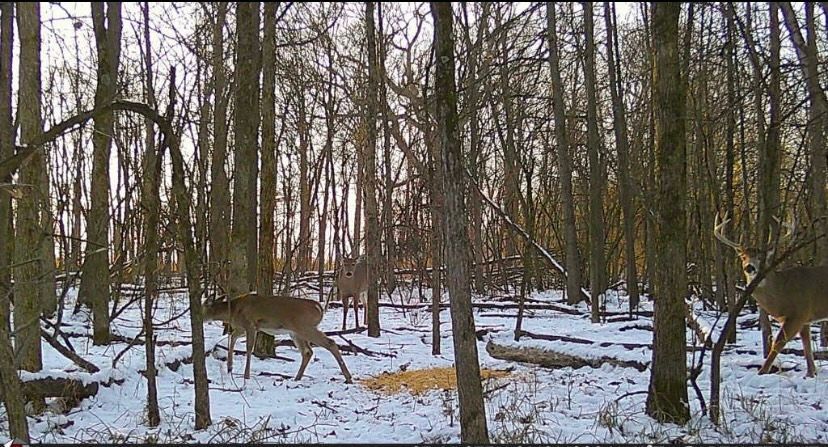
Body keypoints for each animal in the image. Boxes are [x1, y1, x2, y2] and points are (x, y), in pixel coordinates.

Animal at [202, 292, 353, 383]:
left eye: (201, 308)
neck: (233, 310)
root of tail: (319, 307)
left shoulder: (251, 325)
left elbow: (249, 348)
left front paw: (246, 375)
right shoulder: (241, 328)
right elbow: (232, 338)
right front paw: (229, 367)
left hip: (305, 327)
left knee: (330, 343)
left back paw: (348, 377)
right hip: (296, 332)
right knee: (308, 351)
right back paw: (297, 378)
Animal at [714, 213, 828, 377]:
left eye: (761, 258)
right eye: (743, 257)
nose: (749, 267)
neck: (781, 294)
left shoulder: (799, 313)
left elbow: (777, 342)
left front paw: (762, 371)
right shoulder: (805, 318)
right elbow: (806, 345)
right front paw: (810, 374)